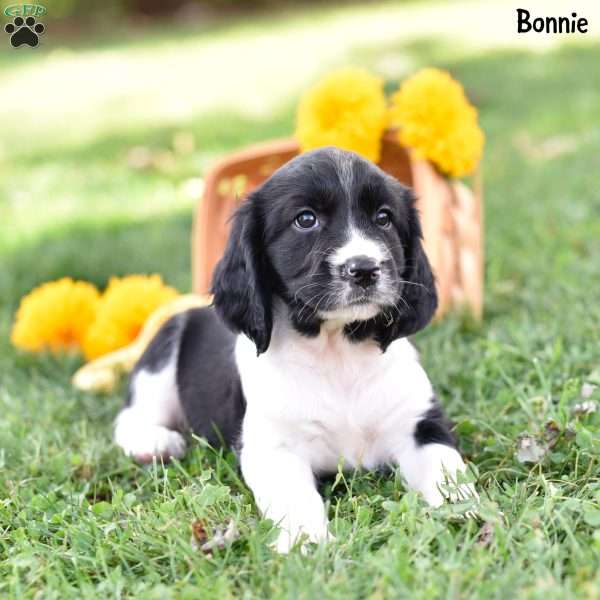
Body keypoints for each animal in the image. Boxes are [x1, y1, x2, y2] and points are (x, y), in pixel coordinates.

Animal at [115, 146, 476, 552]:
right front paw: (308, 541)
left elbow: (447, 469)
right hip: (164, 349)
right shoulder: (272, 448)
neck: (337, 352)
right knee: (130, 415)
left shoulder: (421, 423)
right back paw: (154, 441)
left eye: (384, 218)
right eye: (306, 220)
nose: (364, 268)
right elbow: (295, 496)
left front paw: (466, 511)